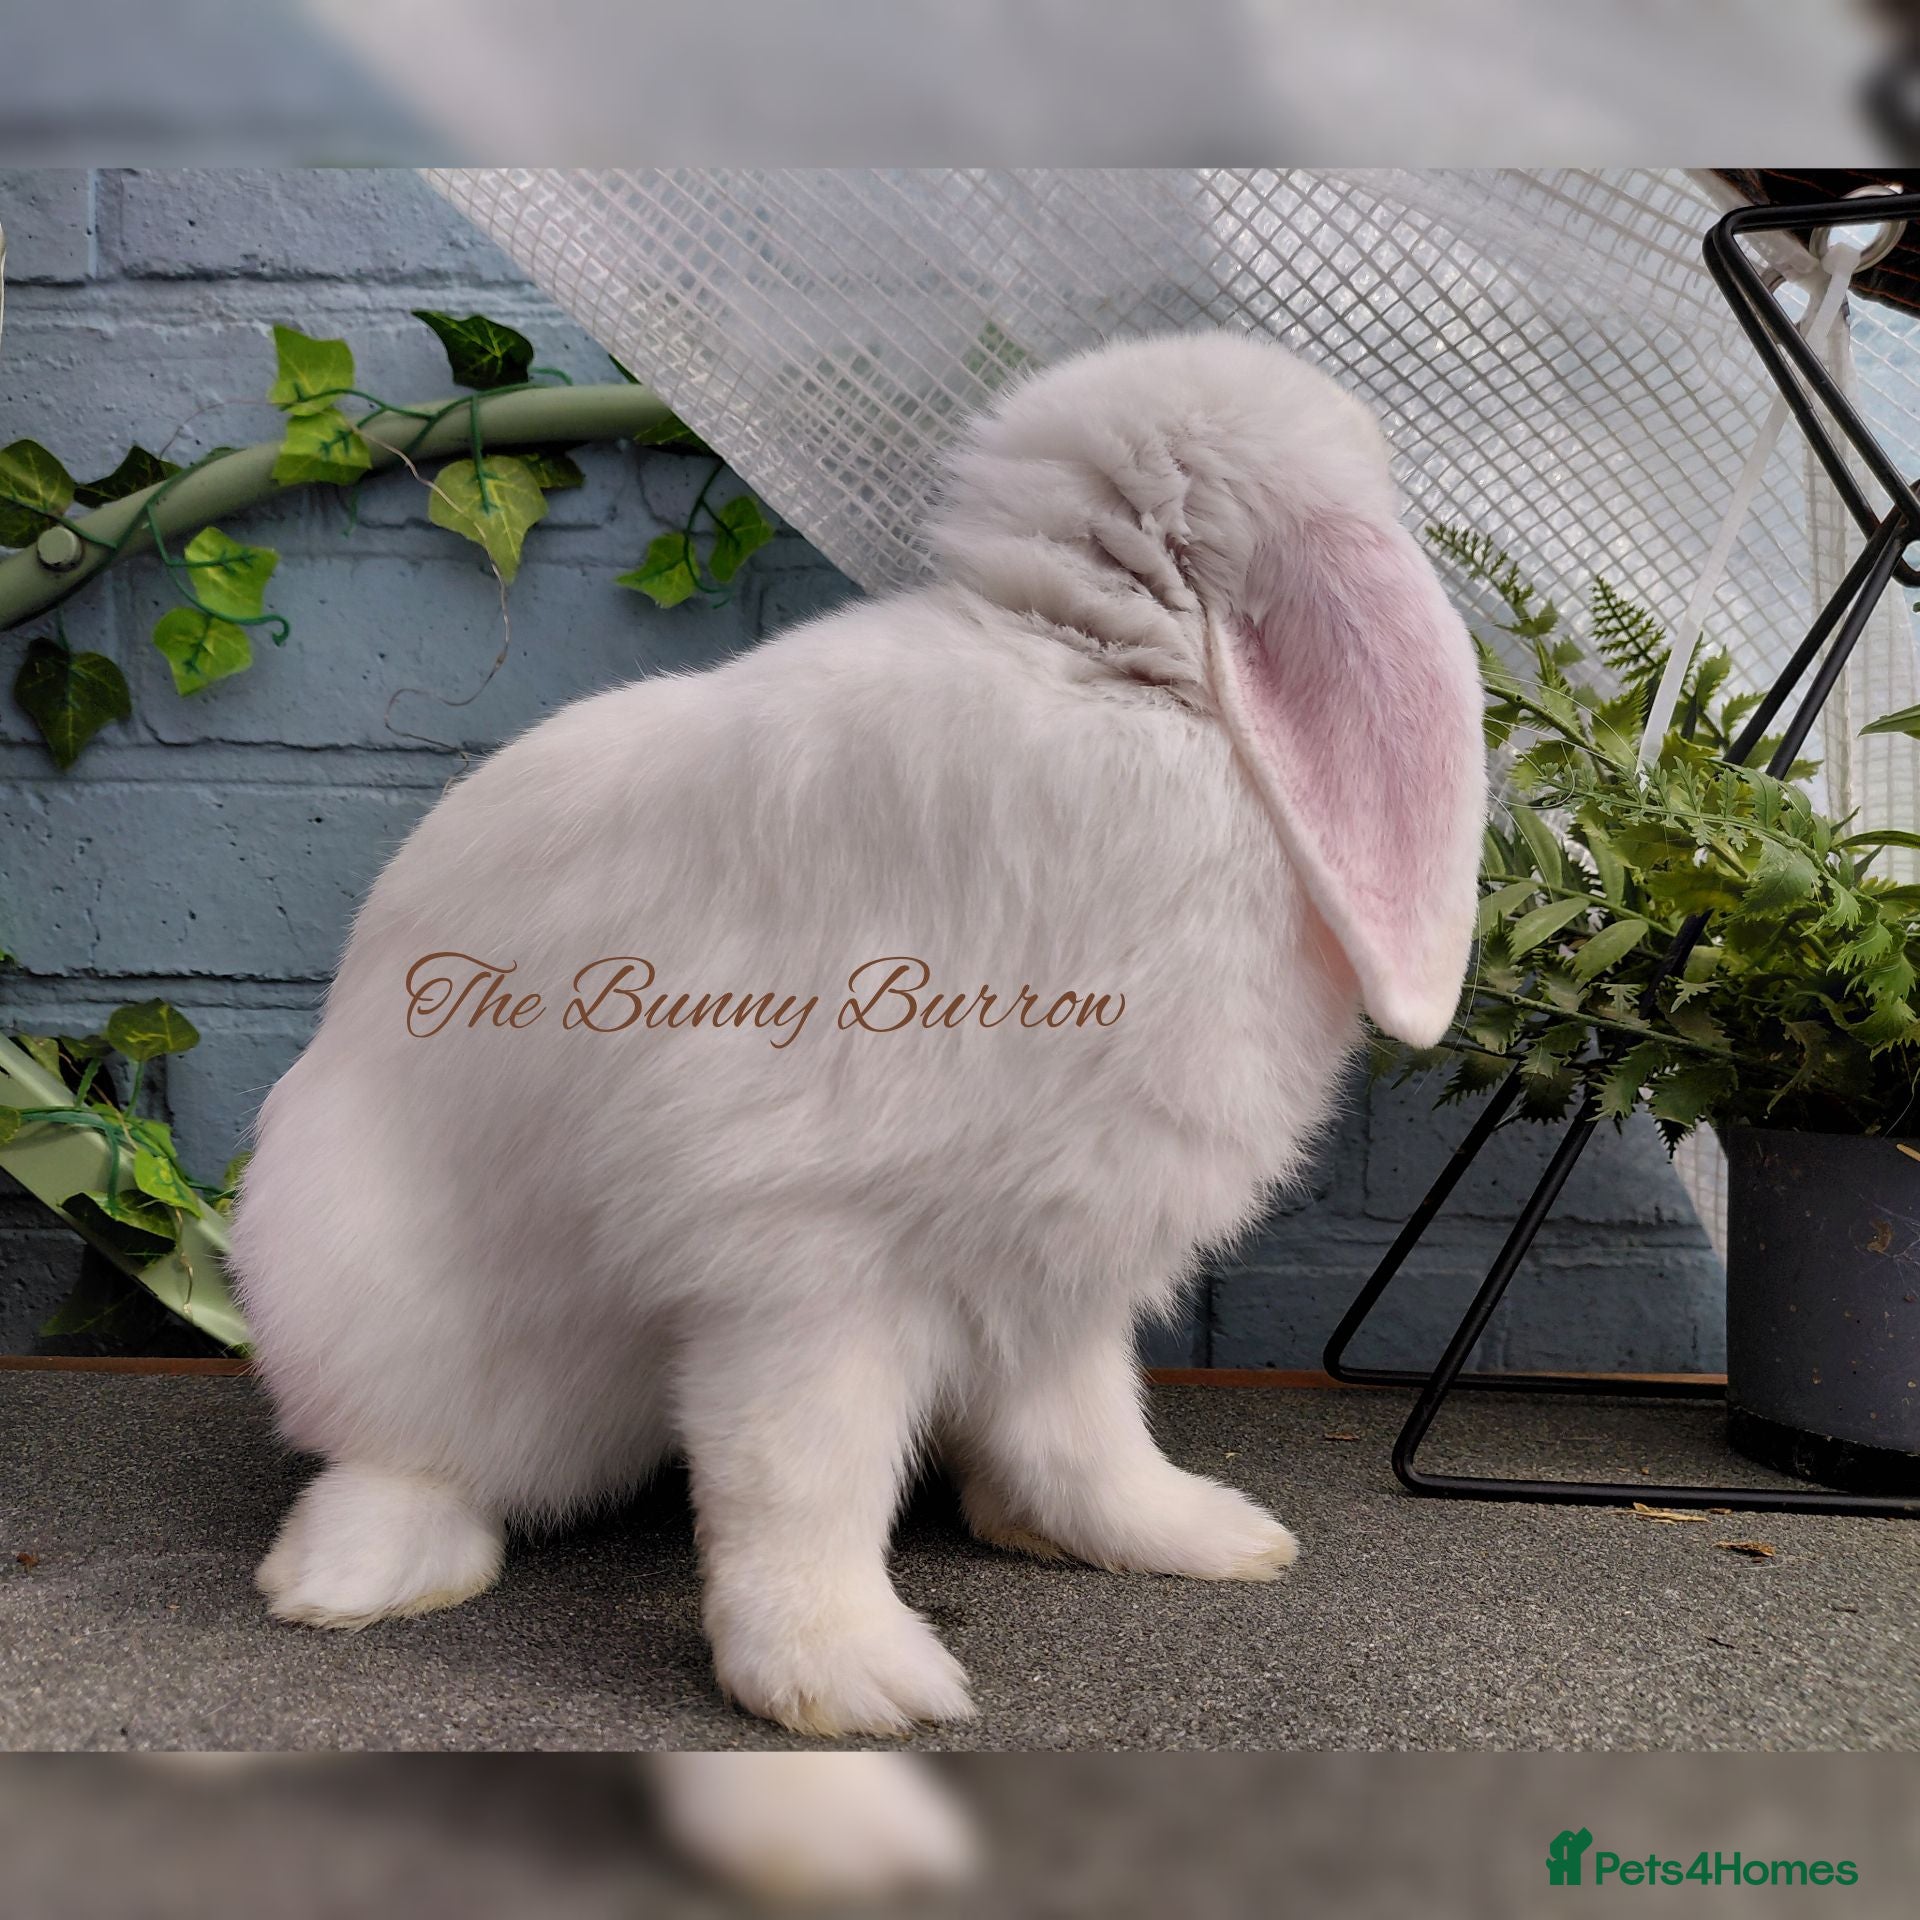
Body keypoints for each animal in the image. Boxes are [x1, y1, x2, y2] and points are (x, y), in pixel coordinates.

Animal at [228, 328, 1487, 1739]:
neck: (1093, 670)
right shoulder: (802, 1254)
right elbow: (802, 1473)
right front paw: (846, 1680)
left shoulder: (1062, 1262)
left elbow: (1084, 1426)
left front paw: (1178, 1535)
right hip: (375, 1305)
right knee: (402, 1454)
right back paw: (352, 1576)